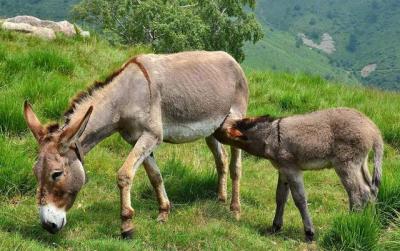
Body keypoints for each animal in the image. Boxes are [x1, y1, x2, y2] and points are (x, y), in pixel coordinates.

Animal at [23, 51, 248, 237]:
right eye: (35, 172)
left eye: (56, 174)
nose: (47, 225)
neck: (126, 96)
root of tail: (232, 59)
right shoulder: (136, 139)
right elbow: (155, 176)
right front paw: (164, 212)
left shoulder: (151, 136)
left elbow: (124, 175)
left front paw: (127, 225)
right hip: (213, 129)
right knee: (221, 159)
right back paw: (221, 199)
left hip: (235, 123)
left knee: (235, 166)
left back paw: (235, 210)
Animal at [216, 107, 384, 241]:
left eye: (222, 128)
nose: (213, 131)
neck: (270, 135)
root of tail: (373, 130)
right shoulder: (283, 170)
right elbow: (280, 197)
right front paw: (275, 226)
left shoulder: (292, 169)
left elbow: (299, 199)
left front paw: (309, 232)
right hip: (361, 164)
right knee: (371, 191)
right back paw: (368, 220)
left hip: (346, 164)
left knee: (359, 193)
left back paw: (351, 221)